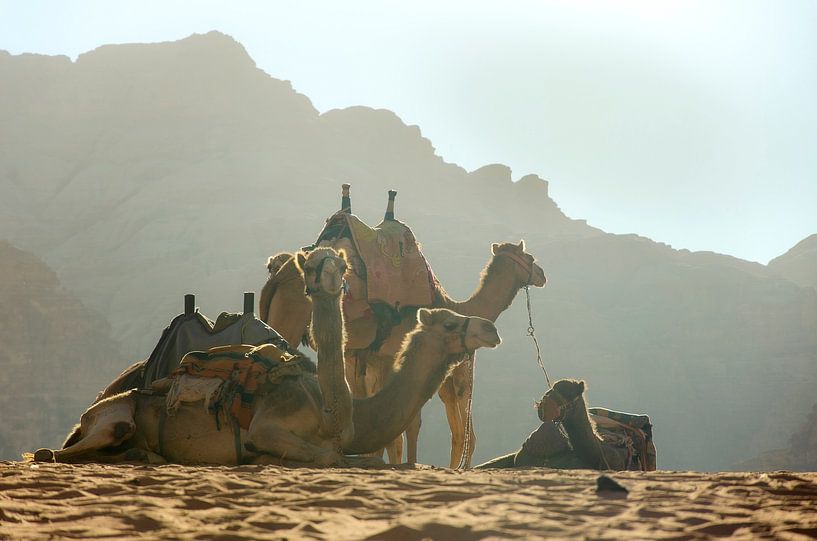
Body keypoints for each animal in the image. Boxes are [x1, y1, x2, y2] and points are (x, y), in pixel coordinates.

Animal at [258, 238, 544, 466]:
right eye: (530, 258)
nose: (542, 274)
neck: (459, 306)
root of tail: (277, 277)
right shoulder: (394, 357)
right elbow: (413, 424)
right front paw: (409, 463)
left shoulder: (369, 360)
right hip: (290, 317)